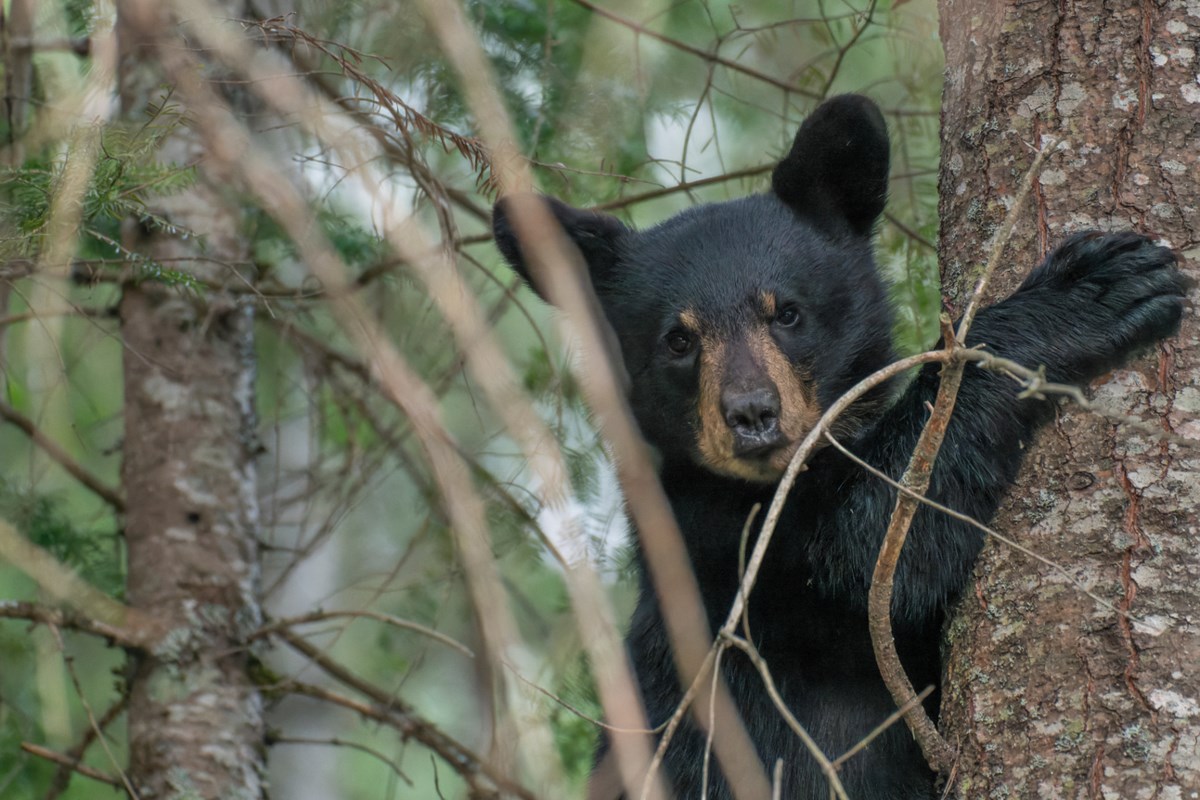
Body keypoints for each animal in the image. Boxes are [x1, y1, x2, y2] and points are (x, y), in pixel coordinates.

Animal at [492, 94, 1185, 799]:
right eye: (678, 339)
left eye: (787, 312)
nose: (751, 414)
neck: (767, 485)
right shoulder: (729, 556)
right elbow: (870, 555)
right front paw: (1091, 291)